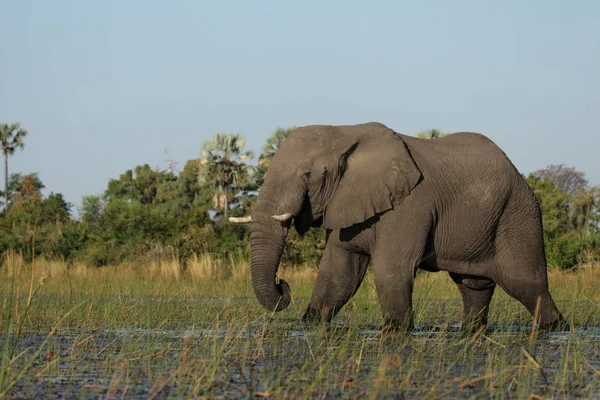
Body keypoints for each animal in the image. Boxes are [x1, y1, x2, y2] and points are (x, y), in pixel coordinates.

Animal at [230, 121, 568, 332]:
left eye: (308, 174)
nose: (282, 284)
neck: (344, 132)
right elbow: (338, 273)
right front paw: (311, 324)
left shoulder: (409, 205)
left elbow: (391, 270)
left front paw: (396, 330)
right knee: (473, 286)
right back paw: (471, 332)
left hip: (518, 214)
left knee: (527, 284)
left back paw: (556, 329)